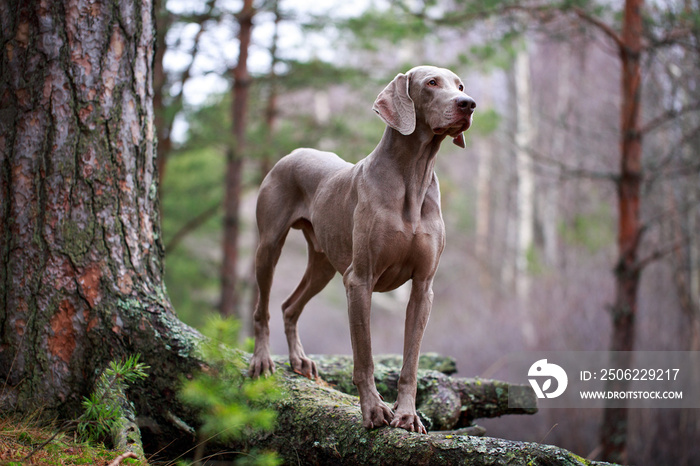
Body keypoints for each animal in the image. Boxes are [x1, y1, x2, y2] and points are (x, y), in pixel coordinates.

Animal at [247, 65, 476, 434]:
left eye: (460, 85)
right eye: (431, 83)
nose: (468, 104)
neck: (413, 176)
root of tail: (294, 152)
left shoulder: (423, 288)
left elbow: (410, 362)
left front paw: (407, 414)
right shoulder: (359, 280)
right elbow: (364, 357)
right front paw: (373, 410)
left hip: (323, 264)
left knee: (289, 306)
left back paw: (299, 360)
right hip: (269, 246)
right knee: (263, 308)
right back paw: (262, 359)